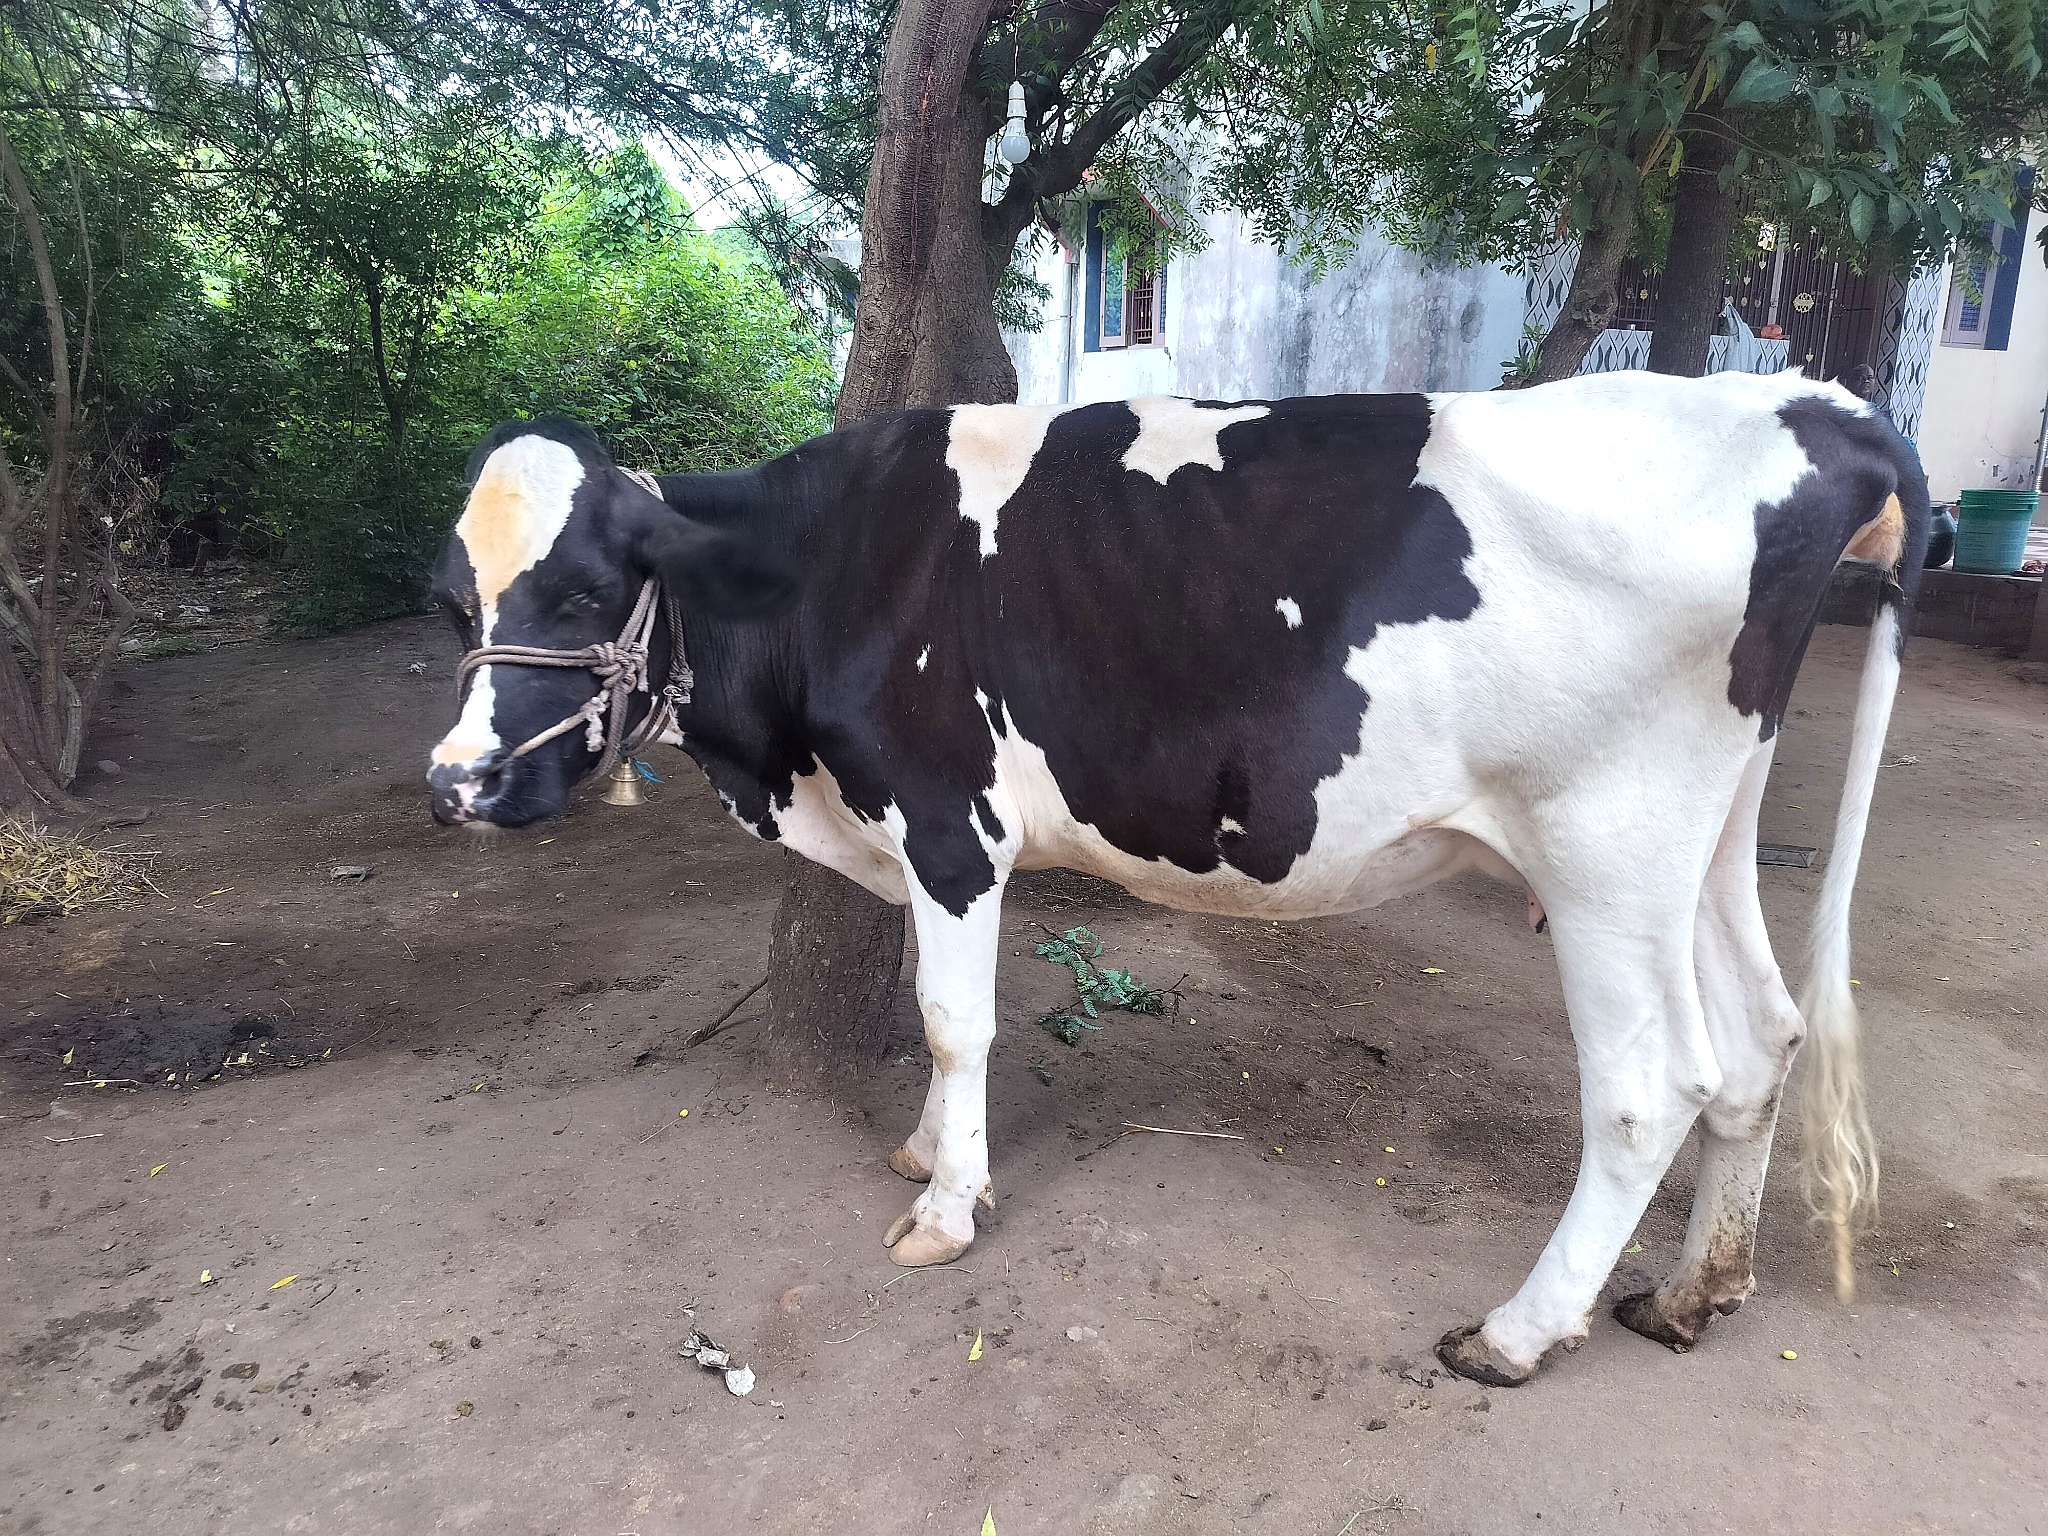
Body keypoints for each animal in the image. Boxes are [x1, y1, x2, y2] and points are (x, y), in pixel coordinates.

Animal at [424, 370, 1928, 1386]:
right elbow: (939, 1018)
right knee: (1761, 1039)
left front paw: (945, 1208)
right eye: (456, 601)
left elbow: (953, 1019)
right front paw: (927, 1148)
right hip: (1705, 832)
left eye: (580, 591)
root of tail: (1798, 401)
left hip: (1604, 843)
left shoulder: (948, 821)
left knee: (1648, 1085)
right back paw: (1692, 1294)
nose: (456, 785)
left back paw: (1515, 1331)